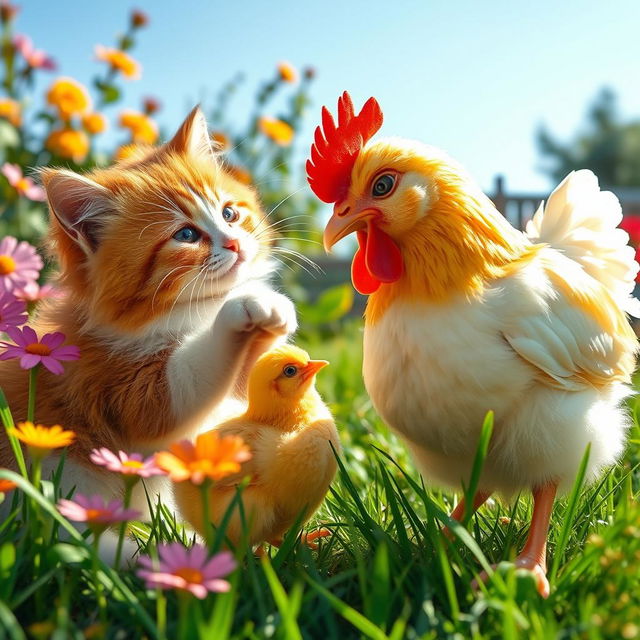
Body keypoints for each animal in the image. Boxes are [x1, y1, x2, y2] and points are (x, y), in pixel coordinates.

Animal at [0, 107, 296, 556]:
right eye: (186, 234)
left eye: (229, 213)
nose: (234, 244)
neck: (185, 313)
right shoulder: (115, 386)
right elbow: (187, 383)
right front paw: (242, 307)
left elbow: (247, 383)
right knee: (64, 539)